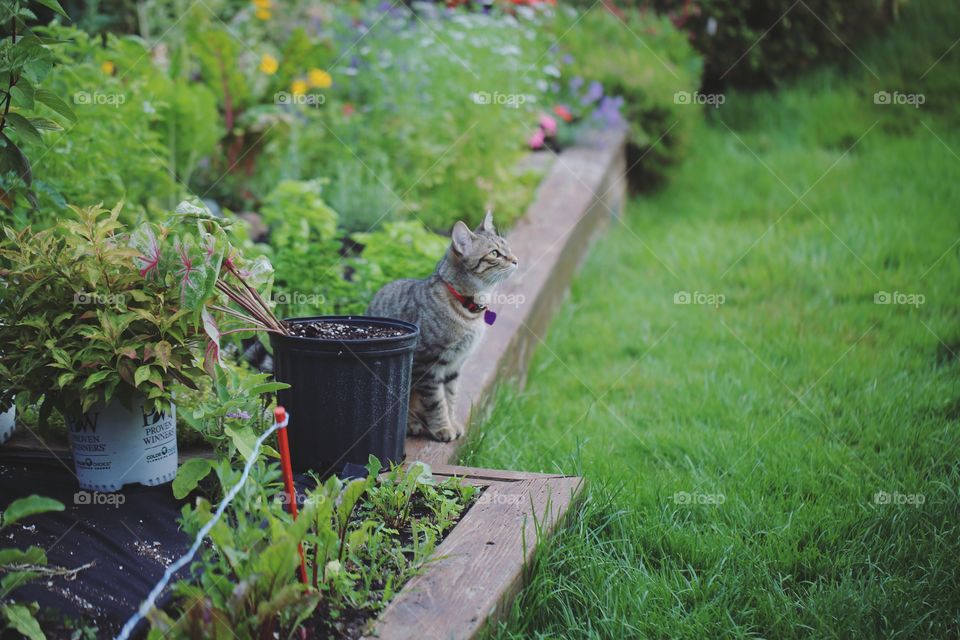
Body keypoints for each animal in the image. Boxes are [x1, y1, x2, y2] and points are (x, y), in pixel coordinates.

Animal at [368, 212, 516, 442]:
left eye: (507, 248)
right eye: (495, 253)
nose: (516, 260)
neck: (469, 309)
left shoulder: (455, 364)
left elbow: (450, 397)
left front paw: (452, 422)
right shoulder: (427, 364)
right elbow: (437, 401)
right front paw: (443, 428)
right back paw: (411, 424)